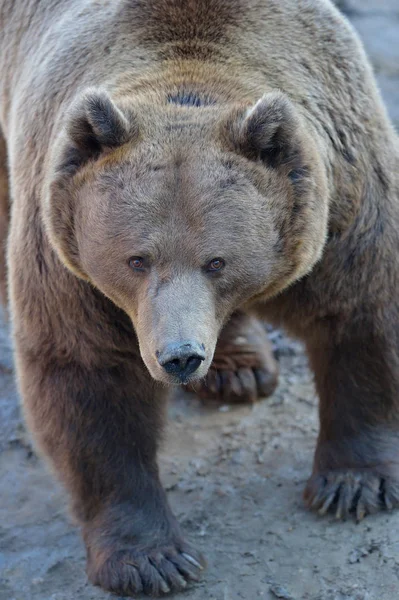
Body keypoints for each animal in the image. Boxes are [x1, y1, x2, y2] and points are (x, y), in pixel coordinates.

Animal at [0, 0, 399, 596]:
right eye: (136, 259)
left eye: (218, 261)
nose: (180, 356)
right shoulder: (66, 255)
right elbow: (87, 375)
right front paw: (152, 560)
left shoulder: (342, 207)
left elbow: (362, 313)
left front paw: (353, 485)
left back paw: (238, 369)